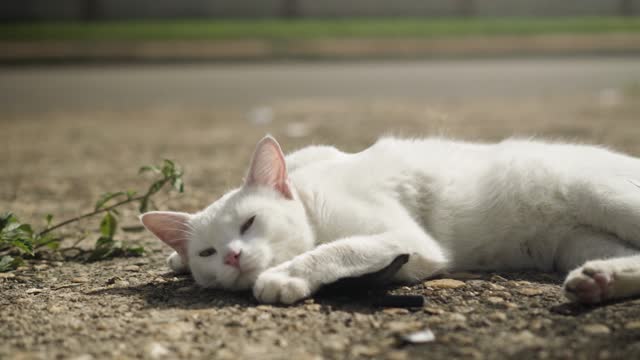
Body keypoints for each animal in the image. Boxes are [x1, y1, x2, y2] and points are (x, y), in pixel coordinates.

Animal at [141, 136, 640, 306]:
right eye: (208, 251)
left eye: (248, 223)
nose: (232, 256)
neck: (310, 198)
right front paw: (176, 258)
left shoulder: (409, 242)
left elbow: (339, 248)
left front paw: (284, 276)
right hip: (577, 240)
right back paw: (599, 281)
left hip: (602, 196)